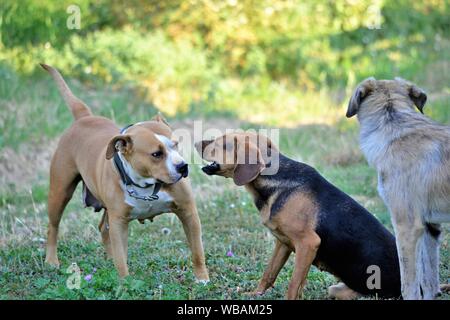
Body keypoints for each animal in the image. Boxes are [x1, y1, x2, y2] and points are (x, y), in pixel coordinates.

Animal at [41, 63, 208, 282]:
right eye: (156, 154)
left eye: (176, 145)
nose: (182, 166)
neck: (145, 184)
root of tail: (85, 117)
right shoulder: (119, 222)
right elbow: (122, 260)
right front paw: (125, 283)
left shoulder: (188, 212)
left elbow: (197, 251)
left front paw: (202, 279)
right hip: (60, 192)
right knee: (53, 226)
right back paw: (51, 260)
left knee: (103, 229)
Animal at [195, 133, 400, 300]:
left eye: (223, 143)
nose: (196, 142)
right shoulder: (283, 243)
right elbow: (269, 273)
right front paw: (255, 294)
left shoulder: (308, 243)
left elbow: (294, 284)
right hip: (337, 289)